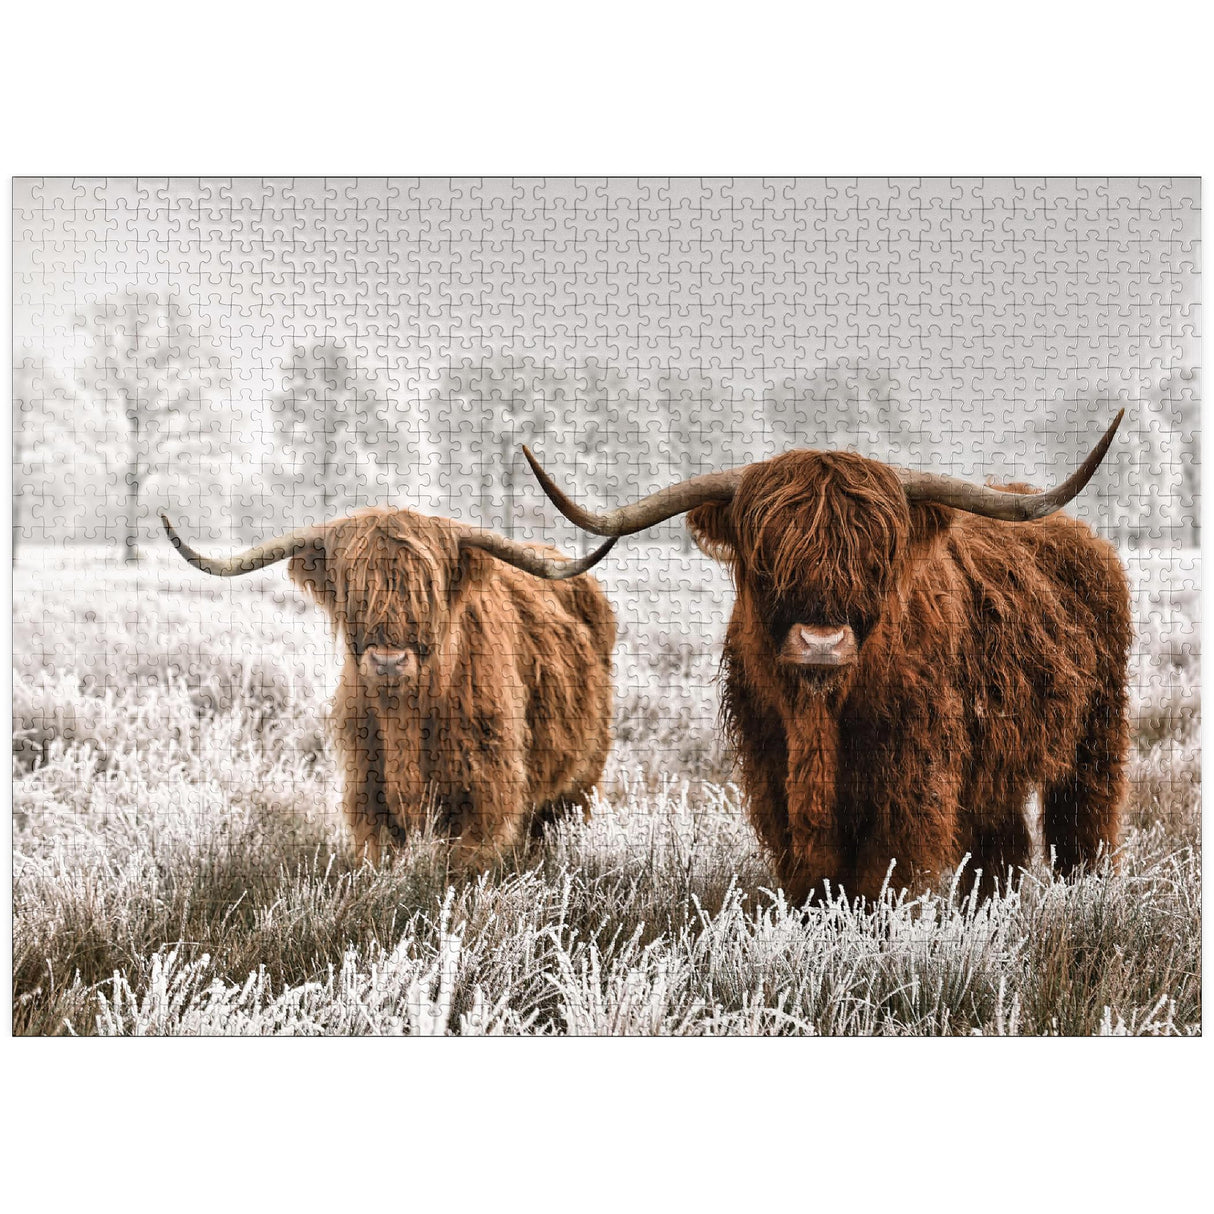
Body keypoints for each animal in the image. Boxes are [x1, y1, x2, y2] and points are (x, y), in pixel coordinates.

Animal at [161, 508, 617, 870]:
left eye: (427, 590)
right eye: (353, 588)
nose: (388, 662)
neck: (405, 717)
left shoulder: (485, 800)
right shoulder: (368, 796)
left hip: (582, 779)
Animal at [518, 413, 1131, 903]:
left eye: (876, 557)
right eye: (767, 557)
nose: (820, 643)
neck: (821, 716)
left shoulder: (912, 784)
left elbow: (886, 881)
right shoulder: (772, 774)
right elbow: (812, 881)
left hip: (1096, 736)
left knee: (1082, 829)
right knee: (1001, 848)